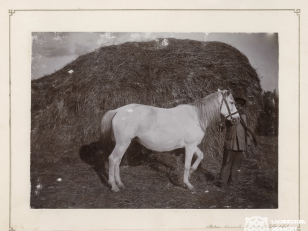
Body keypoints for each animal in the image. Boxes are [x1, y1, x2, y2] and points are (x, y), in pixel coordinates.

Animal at [100, 88, 239, 191]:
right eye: (232, 102)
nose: (237, 119)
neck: (196, 117)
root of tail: (117, 111)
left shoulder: (192, 145)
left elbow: (200, 156)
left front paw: (192, 172)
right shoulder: (189, 146)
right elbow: (186, 164)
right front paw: (188, 184)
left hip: (123, 143)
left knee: (117, 160)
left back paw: (120, 183)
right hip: (122, 143)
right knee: (113, 159)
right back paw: (114, 186)